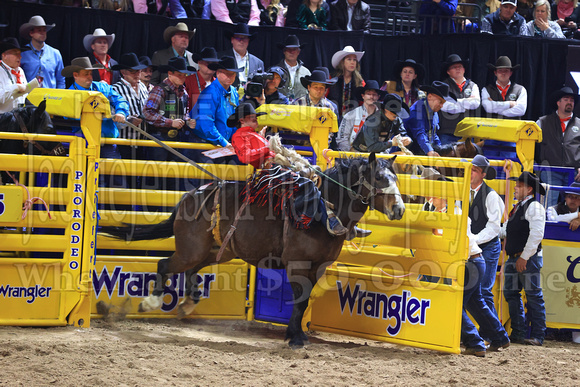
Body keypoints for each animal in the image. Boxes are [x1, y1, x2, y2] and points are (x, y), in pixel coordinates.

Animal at [101, 155, 408, 348]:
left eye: (396, 177)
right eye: (379, 178)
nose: (399, 209)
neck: (323, 210)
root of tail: (192, 195)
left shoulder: (318, 266)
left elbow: (304, 301)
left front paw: (296, 335)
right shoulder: (297, 265)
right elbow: (300, 301)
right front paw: (295, 338)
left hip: (216, 250)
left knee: (191, 270)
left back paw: (189, 302)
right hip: (192, 249)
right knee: (165, 265)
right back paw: (150, 303)